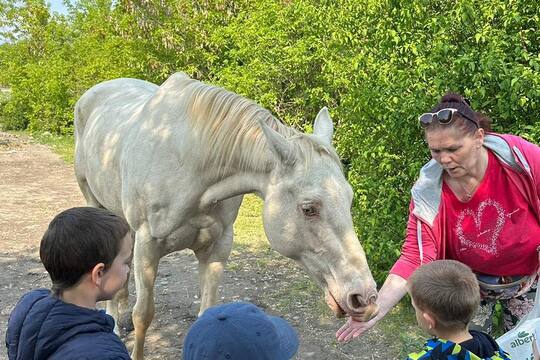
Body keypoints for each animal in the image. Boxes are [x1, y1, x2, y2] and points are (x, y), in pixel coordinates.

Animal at [75, 71, 380, 358]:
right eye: (308, 209)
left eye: (349, 199)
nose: (364, 298)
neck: (191, 164)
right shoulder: (148, 245)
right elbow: (143, 315)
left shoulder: (218, 246)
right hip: (96, 203)